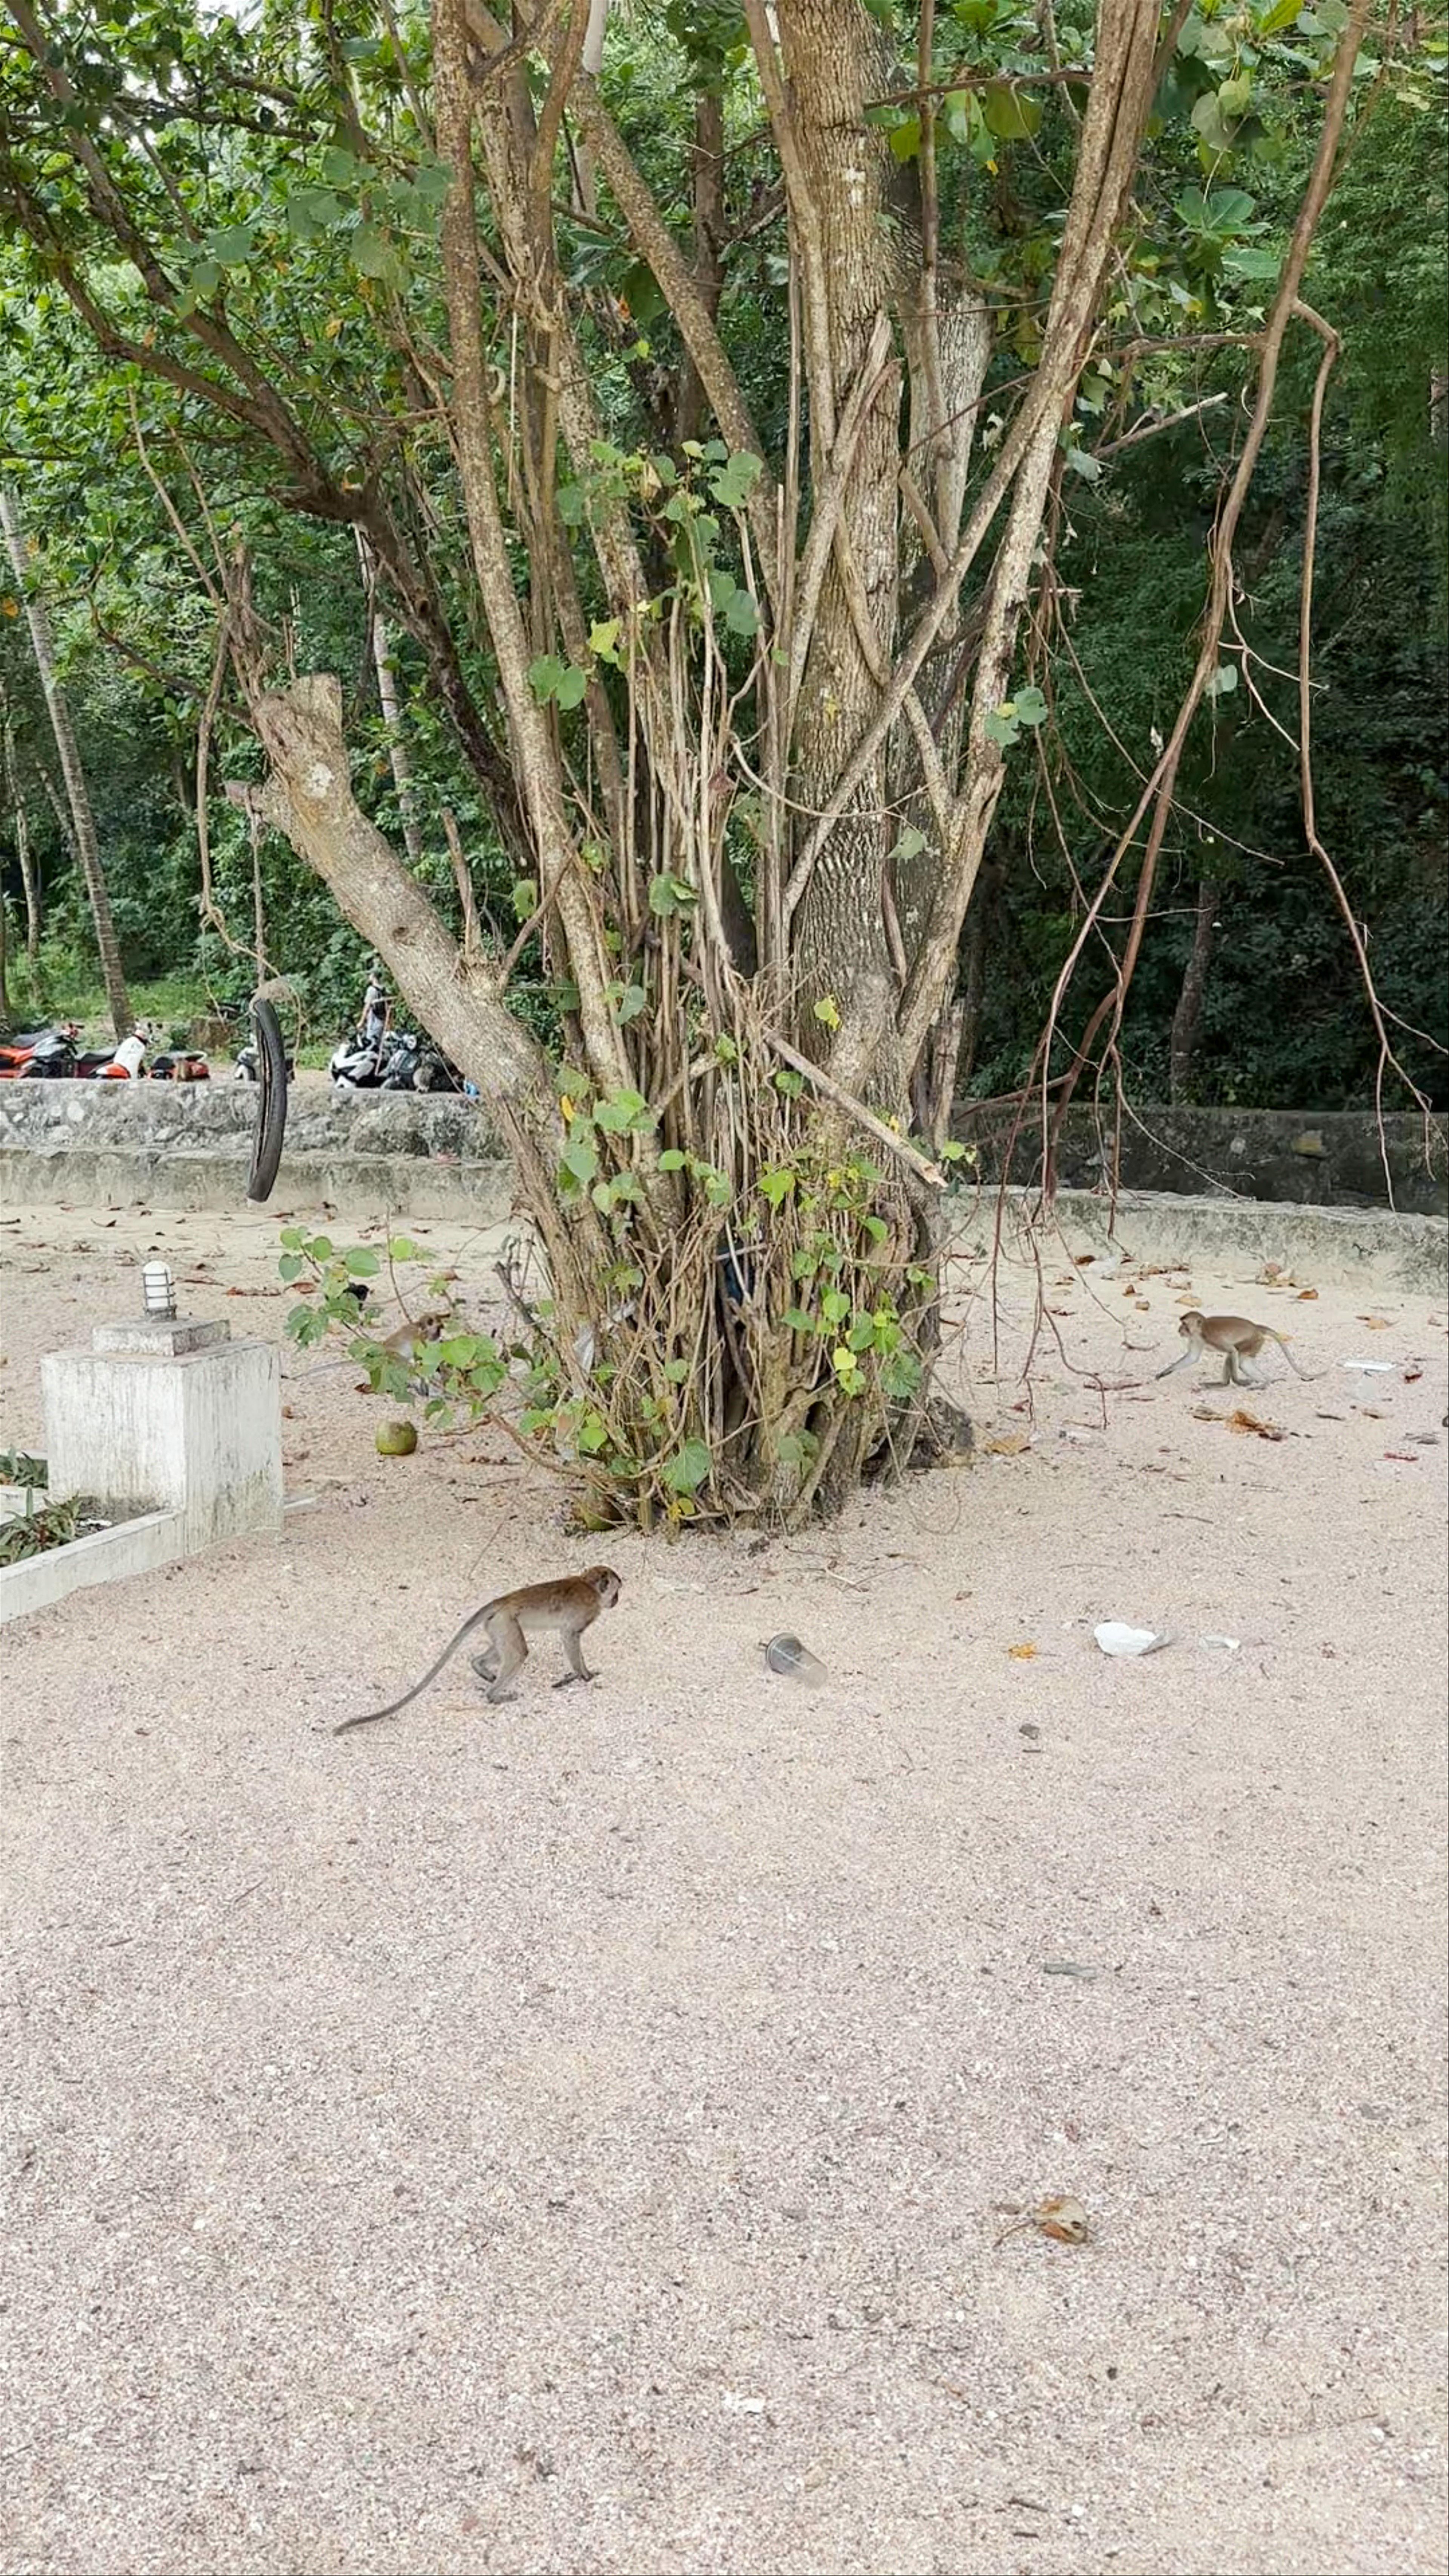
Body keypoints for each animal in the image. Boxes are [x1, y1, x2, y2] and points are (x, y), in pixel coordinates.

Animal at [333, 1568, 622, 1735]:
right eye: (616, 1591)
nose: (617, 1601)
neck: (589, 1585)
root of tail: (504, 1601)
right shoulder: (587, 1611)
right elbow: (570, 1636)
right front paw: (584, 1676)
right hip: (506, 1621)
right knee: (519, 1653)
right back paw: (494, 1696)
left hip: (497, 1624)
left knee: (506, 1649)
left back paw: (481, 1669)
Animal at [1157, 1309, 1315, 1388]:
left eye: (1184, 1324)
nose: (1179, 1330)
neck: (1200, 1331)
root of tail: (1256, 1327)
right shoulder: (1195, 1339)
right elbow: (1192, 1358)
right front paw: (1164, 1372)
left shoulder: (1212, 1337)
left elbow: (1232, 1351)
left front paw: (1238, 1382)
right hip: (1256, 1344)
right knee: (1244, 1363)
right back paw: (1266, 1381)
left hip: (1252, 1341)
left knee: (1235, 1355)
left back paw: (1229, 1384)